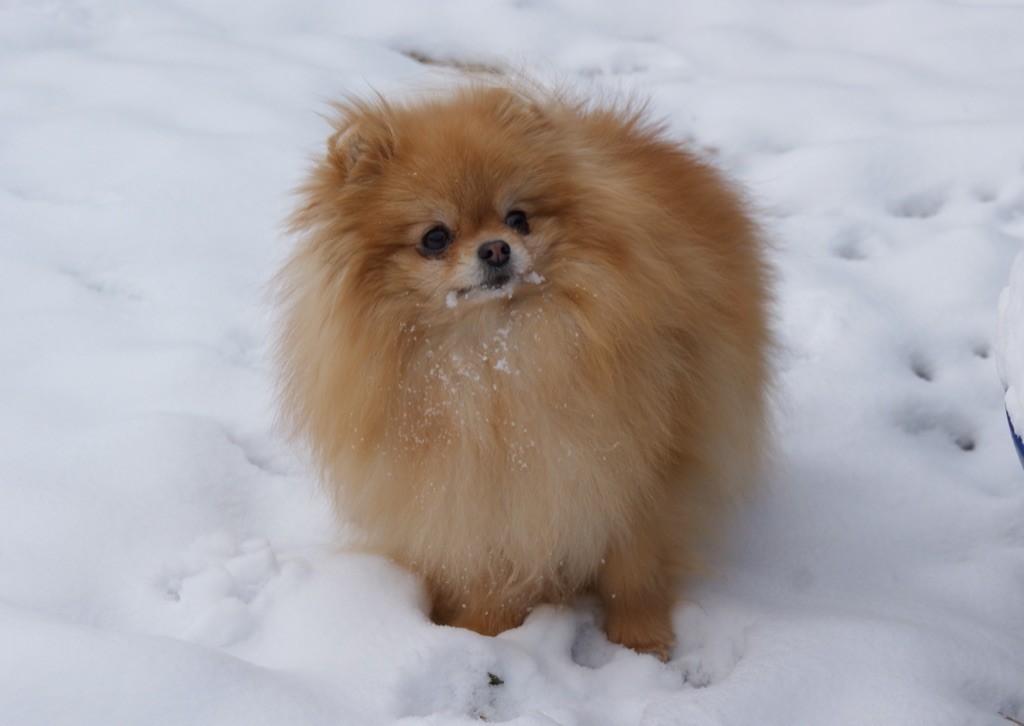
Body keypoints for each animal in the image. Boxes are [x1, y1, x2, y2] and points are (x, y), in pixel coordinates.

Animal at [276, 76, 770, 659]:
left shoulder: (640, 469)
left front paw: (641, 638)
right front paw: (479, 633)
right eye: (435, 237)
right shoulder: (481, 490)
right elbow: (490, 571)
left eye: (518, 218)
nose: (496, 248)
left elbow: (633, 567)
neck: (497, 360)